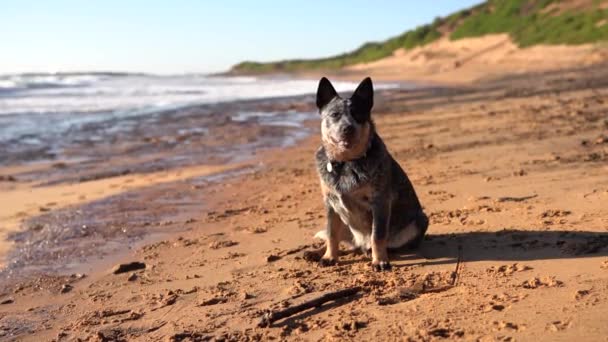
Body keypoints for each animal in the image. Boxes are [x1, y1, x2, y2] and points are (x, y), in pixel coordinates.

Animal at [308, 76, 428, 272]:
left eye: (358, 114)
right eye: (335, 114)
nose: (347, 128)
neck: (346, 163)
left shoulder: (379, 202)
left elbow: (377, 235)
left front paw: (379, 261)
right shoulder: (331, 204)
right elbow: (332, 234)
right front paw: (329, 257)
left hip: (419, 221)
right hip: (344, 220)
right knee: (343, 241)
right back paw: (316, 252)